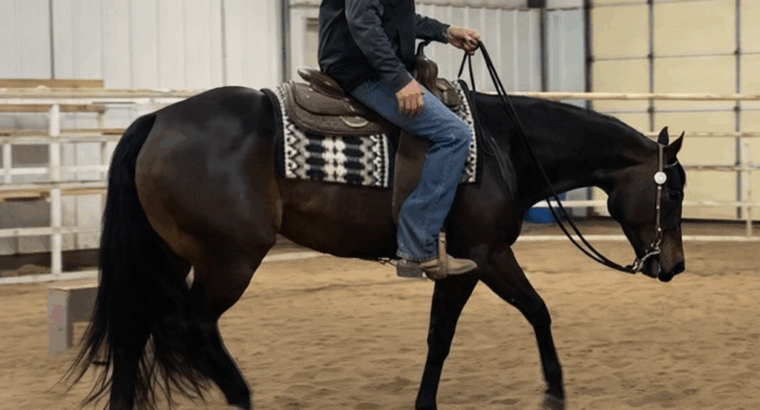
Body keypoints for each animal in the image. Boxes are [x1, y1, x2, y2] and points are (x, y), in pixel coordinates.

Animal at [61, 63, 687, 410]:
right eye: (674, 191)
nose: (674, 267)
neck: (504, 143)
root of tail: (157, 121)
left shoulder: (457, 265)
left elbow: (439, 337)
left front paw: (425, 401)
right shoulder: (484, 255)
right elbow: (536, 311)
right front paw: (555, 392)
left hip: (170, 255)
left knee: (134, 330)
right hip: (229, 261)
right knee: (188, 327)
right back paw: (241, 396)